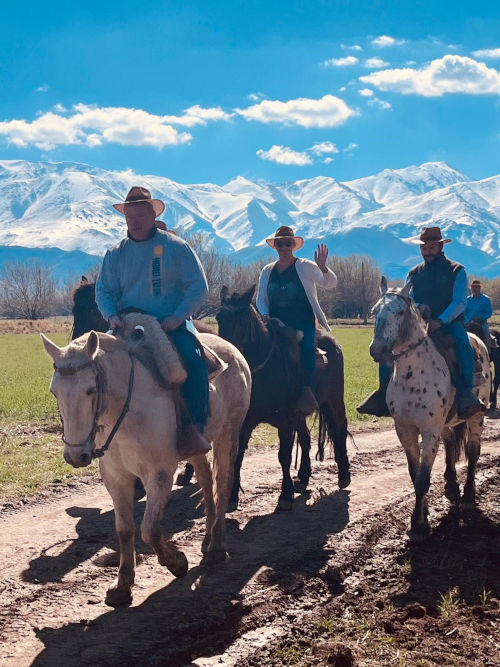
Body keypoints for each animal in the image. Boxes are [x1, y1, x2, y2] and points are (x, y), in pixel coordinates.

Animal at [41, 316, 252, 608]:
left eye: (90, 390)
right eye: (54, 392)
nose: (75, 455)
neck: (127, 413)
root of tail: (234, 352)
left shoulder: (159, 473)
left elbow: (149, 529)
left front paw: (177, 563)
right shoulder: (116, 478)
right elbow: (124, 529)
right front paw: (122, 584)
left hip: (228, 434)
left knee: (222, 483)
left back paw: (217, 548)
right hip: (198, 447)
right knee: (206, 480)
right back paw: (208, 537)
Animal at [216, 284, 352, 512]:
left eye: (242, 318)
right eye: (219, 317)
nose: (226, 355)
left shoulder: (286, 420)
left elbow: (284, 456)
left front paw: (285, 495)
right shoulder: (245, 421)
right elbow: (238, 454)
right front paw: (233, 495)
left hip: (334, 400)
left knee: (340, 429)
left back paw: (344, 474)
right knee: (306, 437)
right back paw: (304, 475)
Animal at [370, 284, 490, 544]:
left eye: (400, 311)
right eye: (374, 311)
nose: (377, 349)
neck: (413, 374)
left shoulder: (429, 431)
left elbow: (423, 478)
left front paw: (418, 526)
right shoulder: (404, 430)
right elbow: (415, 474)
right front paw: (422, 515)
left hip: (476, 418)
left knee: (473, 453)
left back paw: (468, 496)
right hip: (446, 425)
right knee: (451, 445)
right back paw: (452, 486)